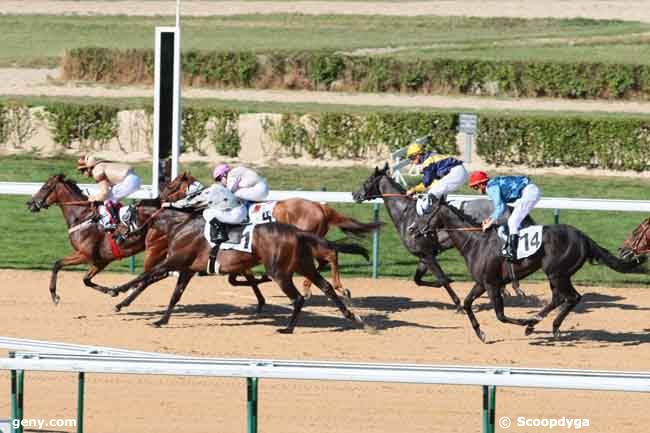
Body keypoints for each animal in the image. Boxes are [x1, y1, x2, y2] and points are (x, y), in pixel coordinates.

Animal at [109, 209, 368, 330]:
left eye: (124, 218)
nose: (116, 237)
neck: (180, 225)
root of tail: (298, 231)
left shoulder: (174, 261)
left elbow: (145, 275)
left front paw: (115, 291)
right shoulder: (186, 269)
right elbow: (175, 295)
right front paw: (161, 320)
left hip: (281, 271)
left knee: (298, 297)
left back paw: (288, 328)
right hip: (303, 265)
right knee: (326, 287)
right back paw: (352, 316)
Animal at [354, 162, 532, 308]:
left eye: (367, 181)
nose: (355, 195)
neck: (406, 214)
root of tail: (508, 207)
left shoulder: (427, 255)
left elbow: (442, 278)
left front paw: (458, 303)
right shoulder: (424, 255)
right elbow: (418, 280)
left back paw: (515, 289)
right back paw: (507, 289)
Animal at [420, 195, 644, 340]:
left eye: (428, 213)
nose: (416, 229)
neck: (476, 242)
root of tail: (584, 237)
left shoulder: (492, 284)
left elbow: (501, 315)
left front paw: (523, 323)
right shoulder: (482, 283)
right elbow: (467, 304)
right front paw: (480, 333)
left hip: (556, 273)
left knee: (572, 297)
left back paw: (543, 326)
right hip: (558, 275)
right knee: (558, 299)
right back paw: (539, 323)